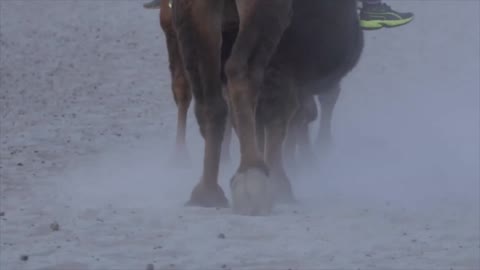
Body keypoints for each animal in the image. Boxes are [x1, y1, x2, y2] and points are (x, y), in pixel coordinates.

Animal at [167, 0, 362, 215]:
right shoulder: (288, 57)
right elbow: (279, 111)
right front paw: (281, 184)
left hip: (192, 13)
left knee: (208, 95)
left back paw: (207, 193)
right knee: (241, 70)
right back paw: (252, 174)